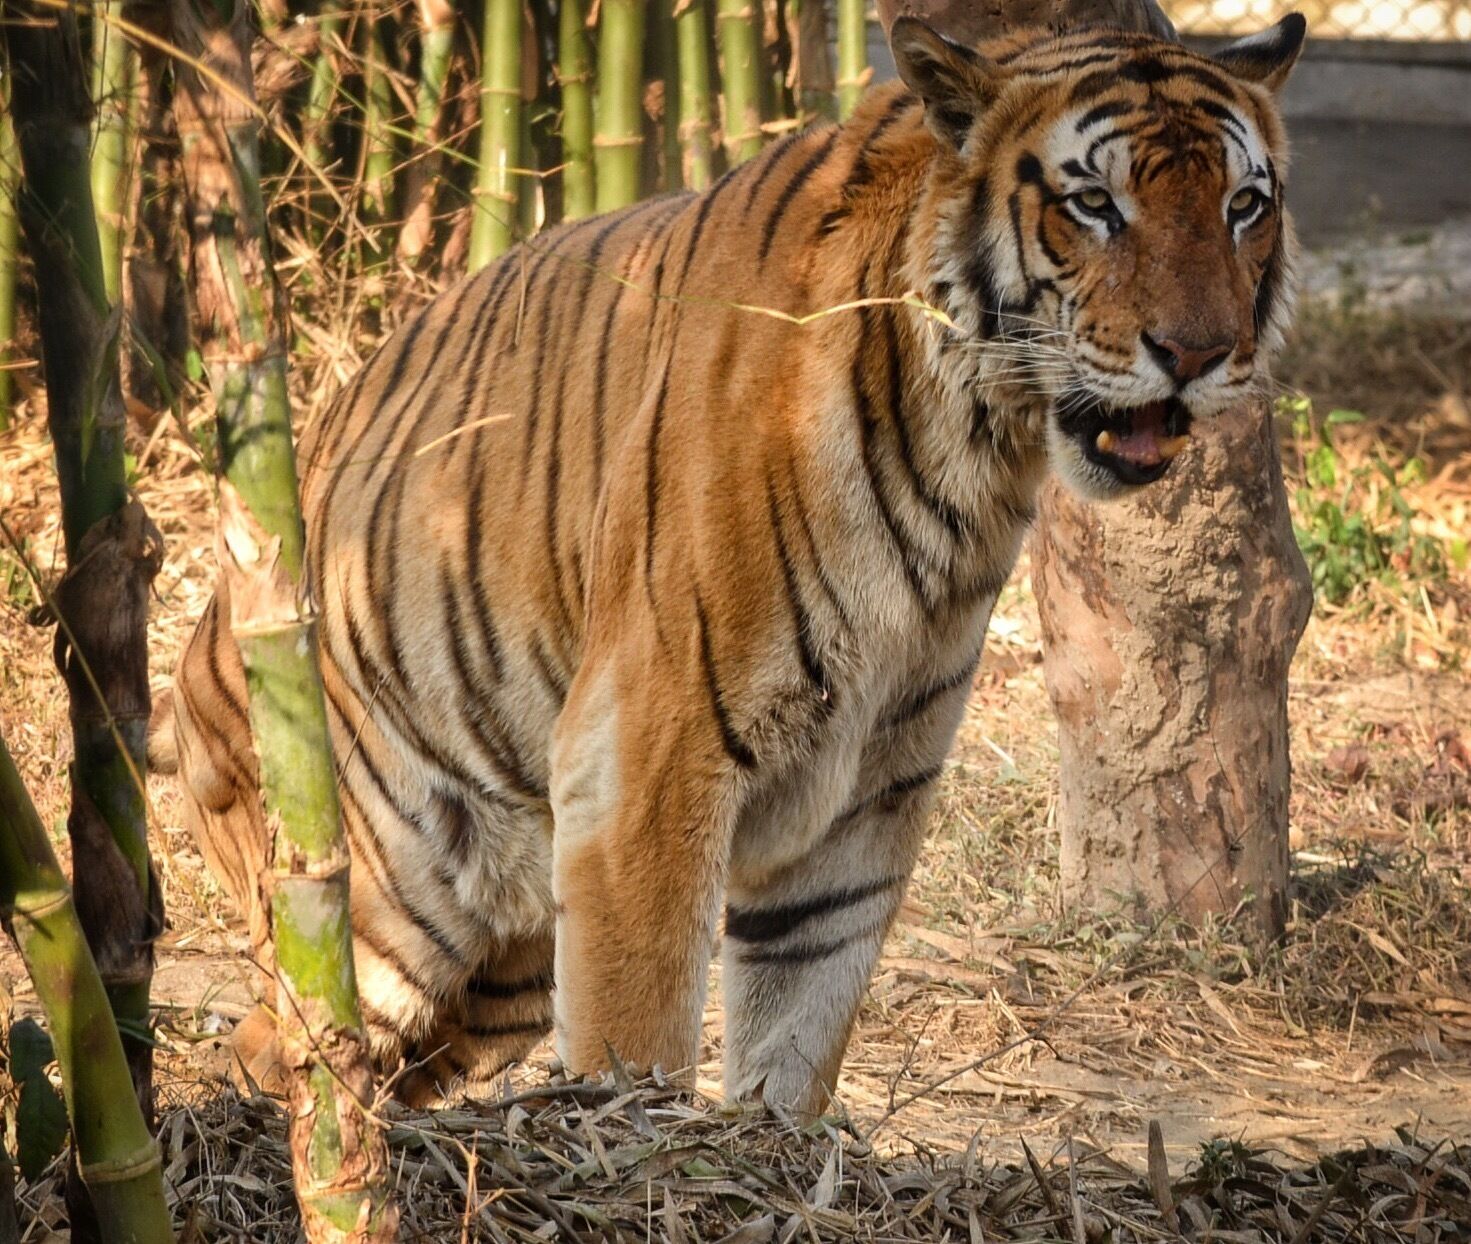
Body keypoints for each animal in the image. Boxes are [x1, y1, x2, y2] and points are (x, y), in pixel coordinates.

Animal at [160, 12, 1307, 1113]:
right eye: (1094, 205)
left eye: (1244, 205)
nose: (1200, 353)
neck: (972, 455)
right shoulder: (645, 753)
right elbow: (639, 1020)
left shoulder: (869, 788)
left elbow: (801, 1015)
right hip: (381, 902)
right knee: (282, 1044)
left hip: (499, 973)